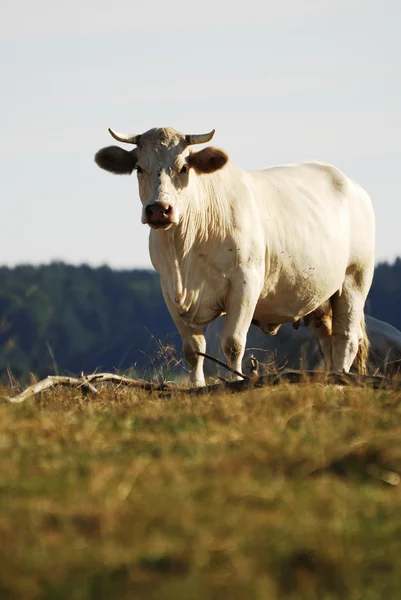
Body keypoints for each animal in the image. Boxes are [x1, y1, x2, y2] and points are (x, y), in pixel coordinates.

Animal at [94, 128, 376, 386]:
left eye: (184, 167)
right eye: (139, 168)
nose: (159, 210)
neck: (184, 254)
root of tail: (351, 184)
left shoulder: (246, 282)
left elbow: (233, 343)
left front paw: (234, 382)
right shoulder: (169, 289)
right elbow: (193, 350)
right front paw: (197, 387)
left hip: (354, 282)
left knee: (346, 339)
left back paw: (340, 378)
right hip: (321, 299)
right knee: (329, 341)